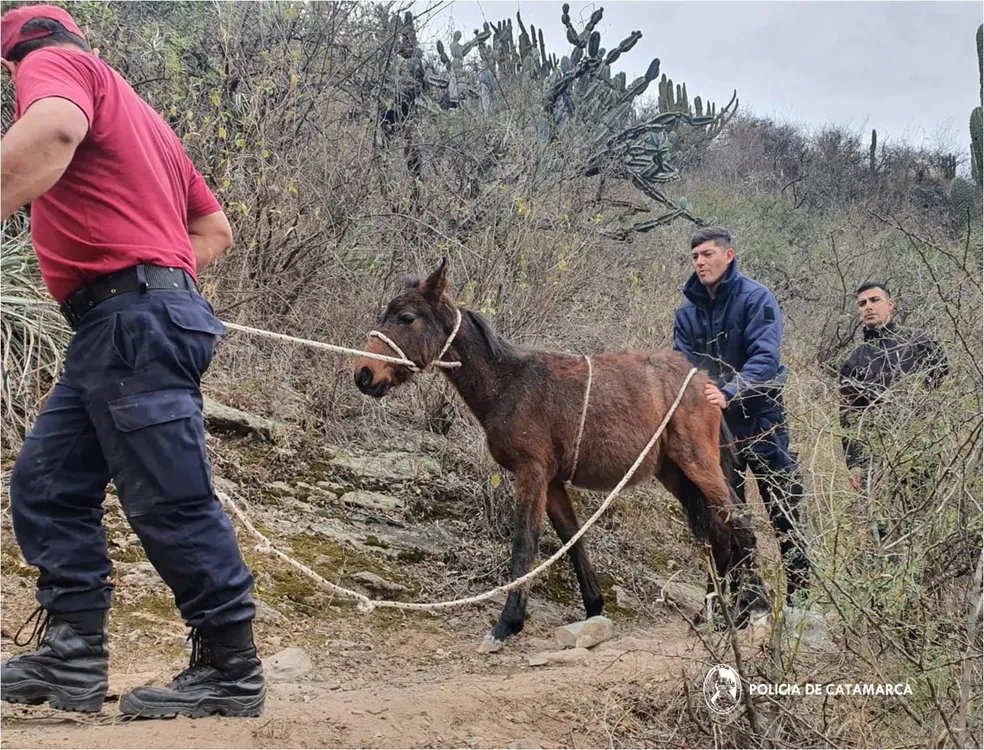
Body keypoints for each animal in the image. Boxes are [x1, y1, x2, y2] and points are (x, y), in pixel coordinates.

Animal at [354, 259, 770, 651]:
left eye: (407, 318)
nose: (364, 373)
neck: (510, 384)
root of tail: (707, 381)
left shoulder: (532, 472)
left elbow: (525, 542)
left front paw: (507, 624)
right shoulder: (552, 482)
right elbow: (572, 538)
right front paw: (594, 607)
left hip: (698, 465)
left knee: (741, 528)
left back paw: (754, 611)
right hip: (676, 475)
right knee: (718, 536)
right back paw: (713, 615)